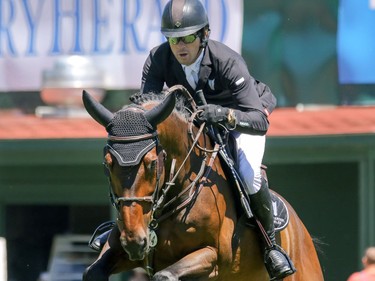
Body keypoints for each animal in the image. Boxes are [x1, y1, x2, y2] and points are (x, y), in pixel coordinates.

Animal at [81, 86, 324, 280]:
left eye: (151, 163)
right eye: (107, 164)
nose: (134, 240)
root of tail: (300, 229)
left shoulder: (211, 256)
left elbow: (165, 275)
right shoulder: (120, 249)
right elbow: (92, 272)